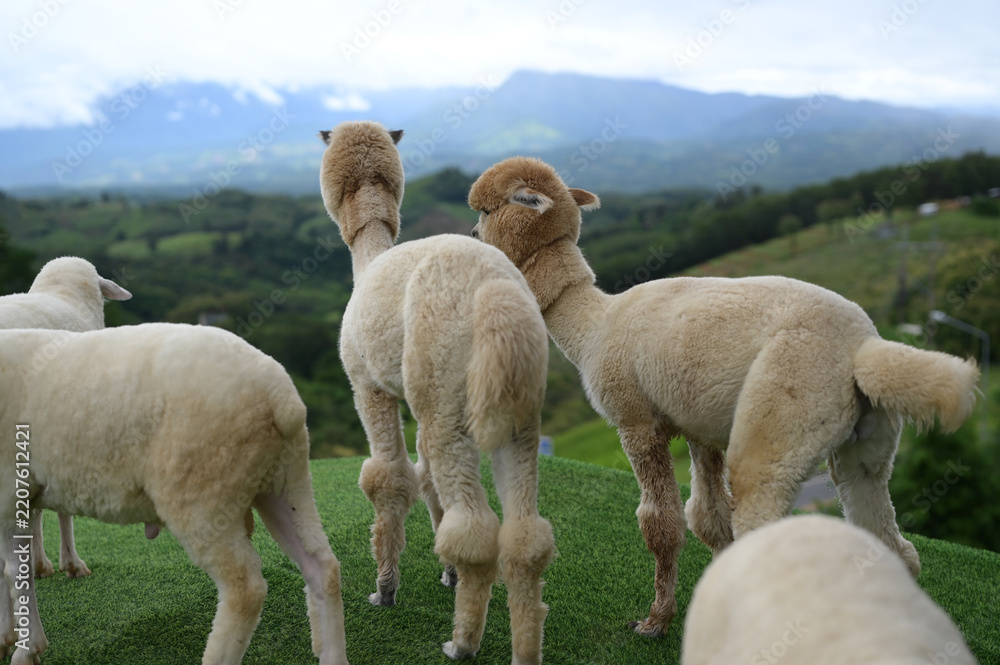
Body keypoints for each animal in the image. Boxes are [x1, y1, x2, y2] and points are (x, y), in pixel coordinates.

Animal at [0, 323, 349, 665]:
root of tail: (281, 398)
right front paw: (8, 638)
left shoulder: (9, 494)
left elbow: (15, 571)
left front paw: (27, 649)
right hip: (286, 480)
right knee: (322, 567)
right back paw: (333, 653)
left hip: (202, 491)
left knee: (245, 588)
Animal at [320, 121, 553, 664]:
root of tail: (493, 292)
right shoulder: (415, 396)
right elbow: (424, 480)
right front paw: (445, 572)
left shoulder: (369, 385)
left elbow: (388, 478)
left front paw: (385, 589)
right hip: (517, 408)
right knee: (525, 537)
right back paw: (523, 650)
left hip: (448, 396)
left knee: (478, 527)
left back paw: (461, 642)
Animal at [468, 156, 979, 638]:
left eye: (487, 209)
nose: (473, 233)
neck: (595, 324)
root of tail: (863, 347)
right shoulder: (698, 426)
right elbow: (709, 518)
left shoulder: (636, 420)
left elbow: (662, 525)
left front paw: (656, 622)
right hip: (867, 445)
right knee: (892, 541)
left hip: (784, 403)